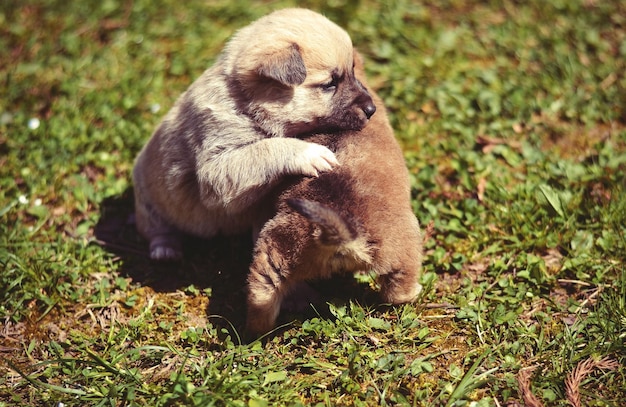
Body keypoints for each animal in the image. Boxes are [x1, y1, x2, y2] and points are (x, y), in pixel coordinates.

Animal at [132, 9, 372, 262]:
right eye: (330, 84)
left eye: (353, 70)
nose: (372, 109)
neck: (244, 101)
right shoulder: (216, 167)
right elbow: (264, 148)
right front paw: (310, 153)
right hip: (148, 202)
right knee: (157, 229)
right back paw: (165, 249)